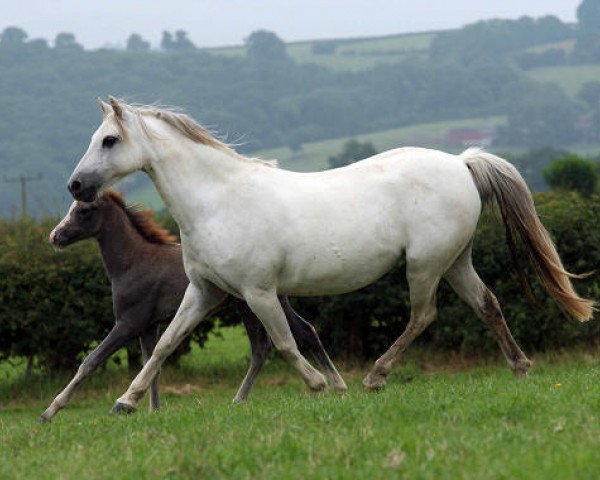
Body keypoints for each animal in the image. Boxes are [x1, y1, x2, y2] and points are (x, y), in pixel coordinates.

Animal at [68, 97, 592, 412]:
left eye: (110, 140)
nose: (76, 185)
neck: (217, 200)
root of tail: (461, 163)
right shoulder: (204, 292)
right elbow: (163, 346)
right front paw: (125, 402)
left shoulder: (259, 292)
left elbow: (284, 344)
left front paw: (322, 386)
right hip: (454, 261)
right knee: (487, 304)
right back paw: (520, 367)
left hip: (424, 267)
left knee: (424, 315)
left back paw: (376, 377)